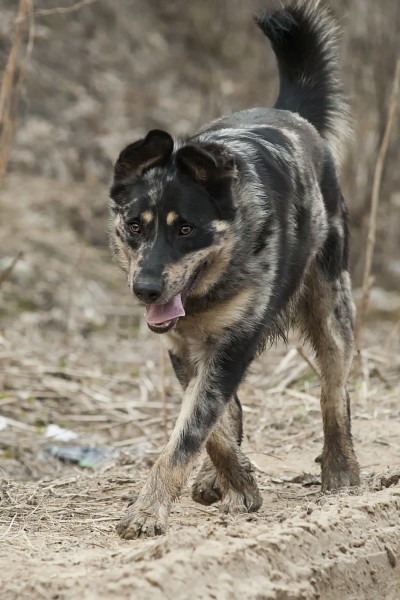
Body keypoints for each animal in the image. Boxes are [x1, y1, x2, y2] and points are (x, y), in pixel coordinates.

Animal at [109, 0, 360, 539]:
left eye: (186, 230)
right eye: (135, 227)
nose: (145, 289)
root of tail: (293, 114)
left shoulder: (232, 342)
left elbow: (192, 429)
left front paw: (147, 511)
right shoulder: (185, 348)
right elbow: (211, 425)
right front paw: (237, 483)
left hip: (331, 306)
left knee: (334, 389)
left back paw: (341, 467)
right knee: (234, 408)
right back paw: (213, 479)